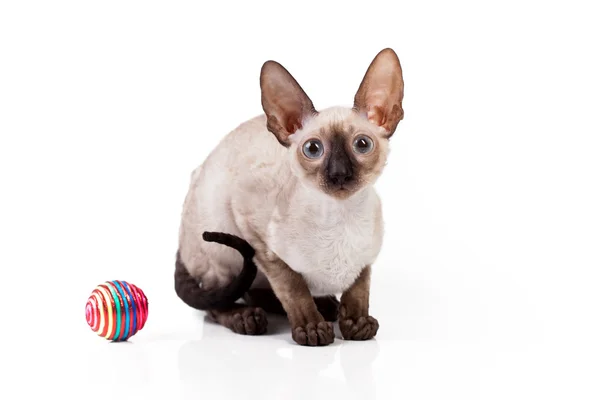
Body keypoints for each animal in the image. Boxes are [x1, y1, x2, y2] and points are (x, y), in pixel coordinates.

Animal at [176, 47, 406, 346]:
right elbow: (293, 288)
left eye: (362, 144)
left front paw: (356, 323)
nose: (339, 174)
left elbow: (359, 289)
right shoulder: (257, 237)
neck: (340, 218)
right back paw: (247, 317)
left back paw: (327, 306)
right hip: (220, 245)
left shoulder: (365, 258)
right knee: (216, 303)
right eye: (313, 149)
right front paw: (311, 328)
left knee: (251, 291)